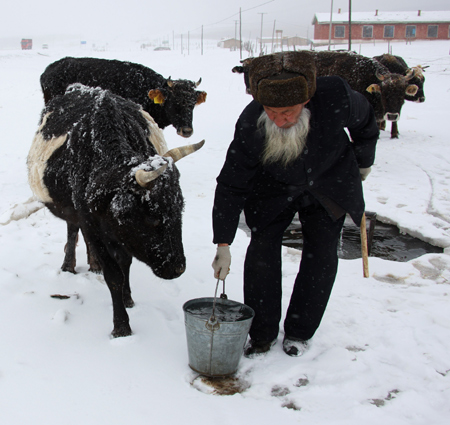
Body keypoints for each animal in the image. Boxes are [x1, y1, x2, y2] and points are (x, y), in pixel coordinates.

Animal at [27, 83, 205, 338]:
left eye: (180, 209)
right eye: (152, 218)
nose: (178, 268)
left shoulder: (122, 233)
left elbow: (124, 263)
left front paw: (128, 298)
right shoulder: (92, 224)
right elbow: (113, 275)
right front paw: (121, 326)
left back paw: (93, 265)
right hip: (74, 212)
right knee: (72, 228)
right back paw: (69, 265)